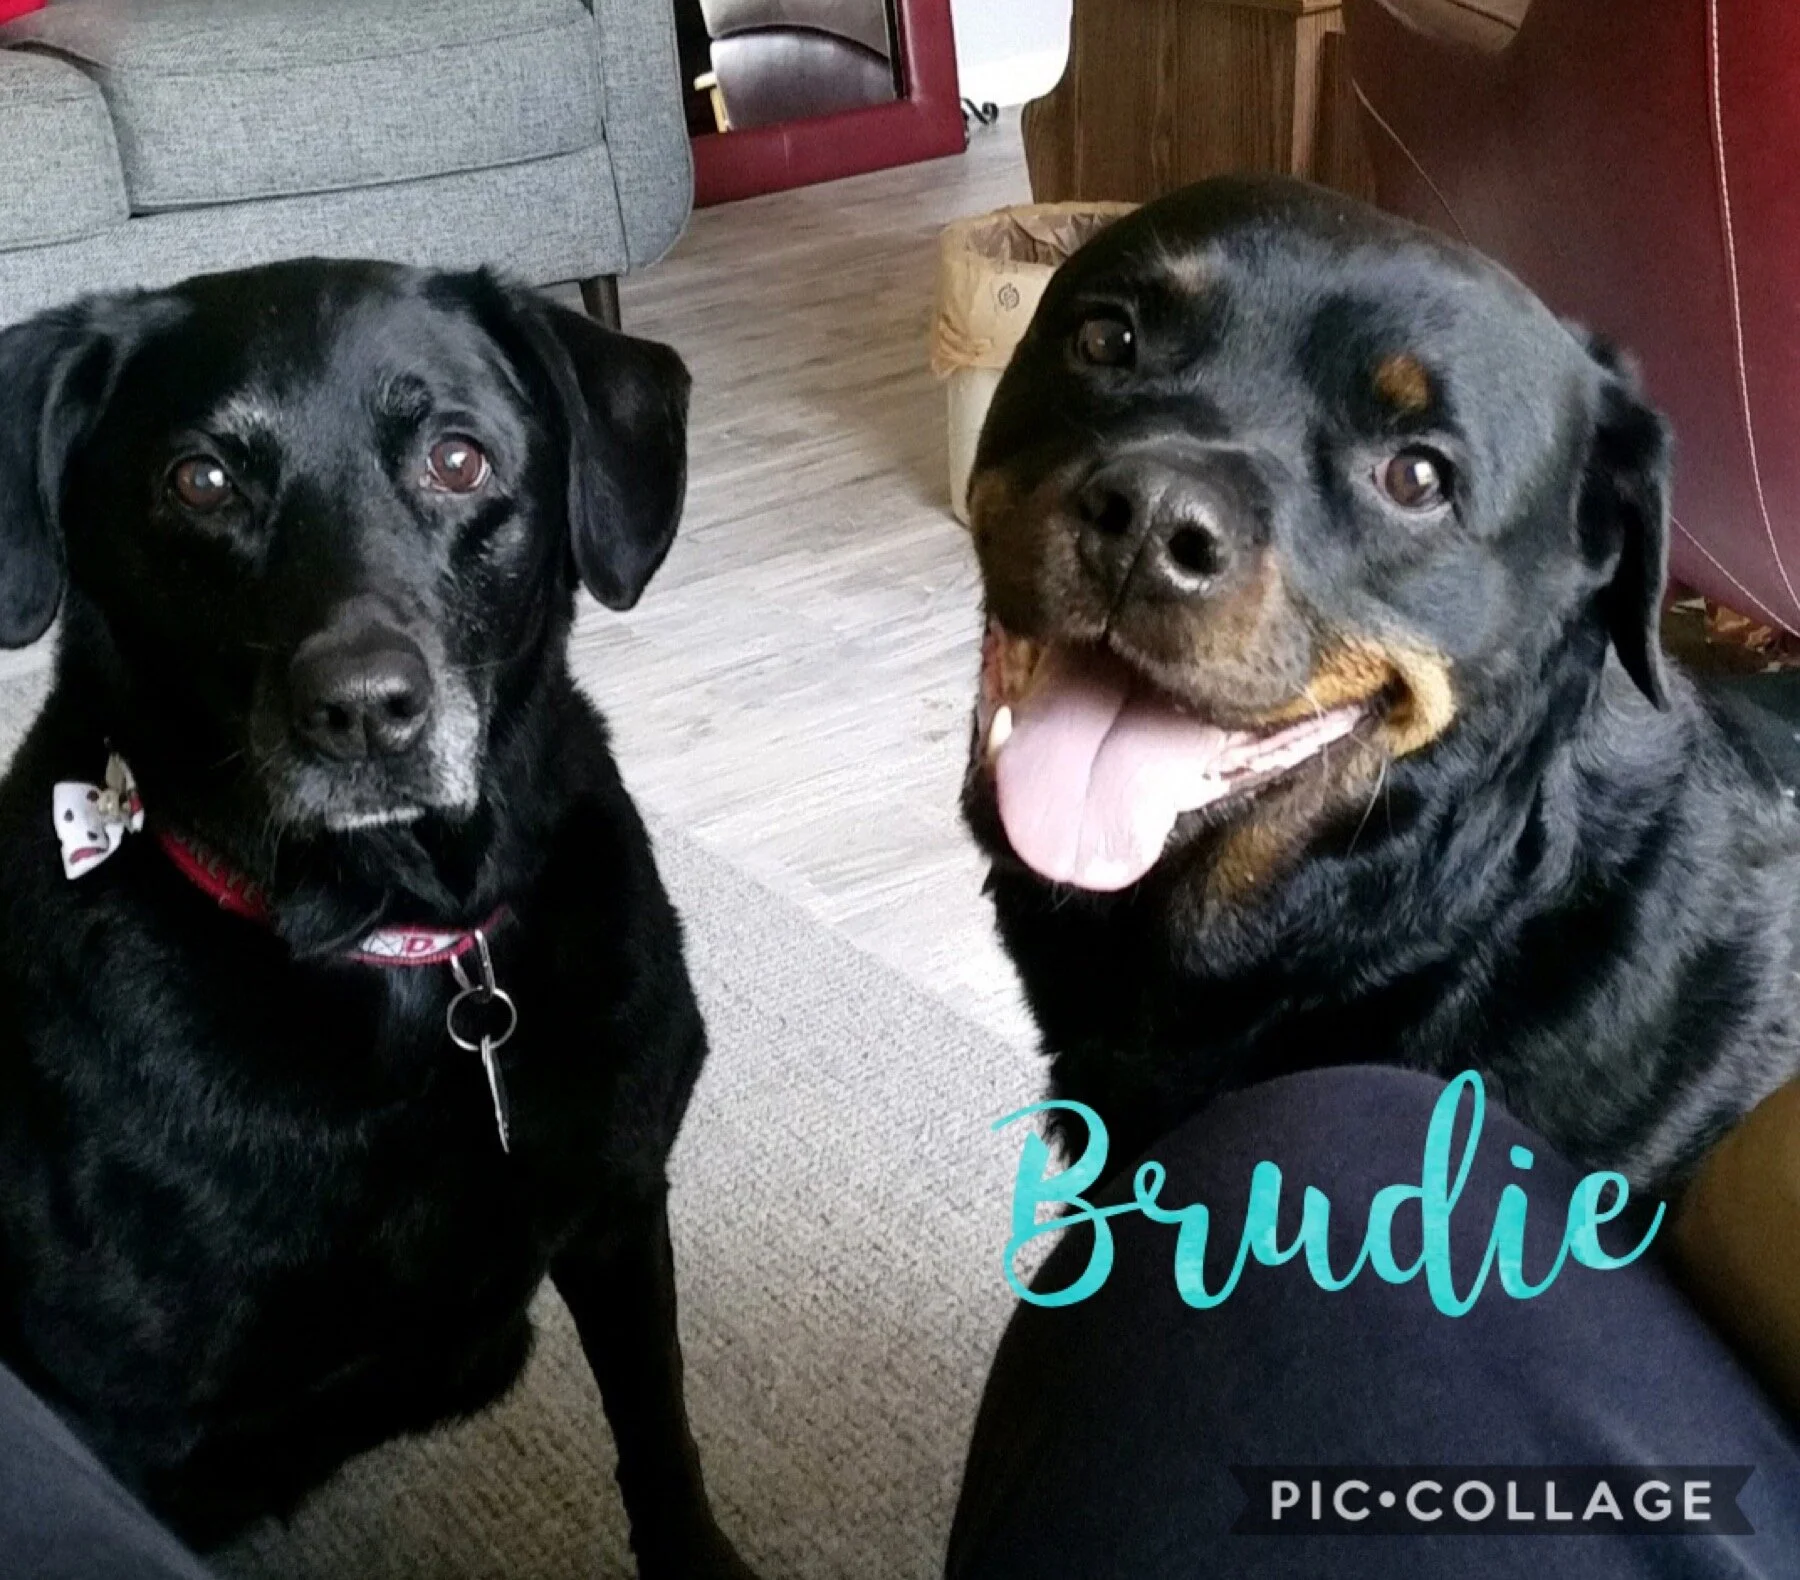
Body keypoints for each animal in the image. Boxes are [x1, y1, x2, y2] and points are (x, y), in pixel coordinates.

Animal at [0, 260, 756, 1577]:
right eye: (200, 480)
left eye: (458, 458)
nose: (362, 711)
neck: (405, 935)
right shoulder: (121, 1416)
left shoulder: (617, 1204)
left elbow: (658, 1429)